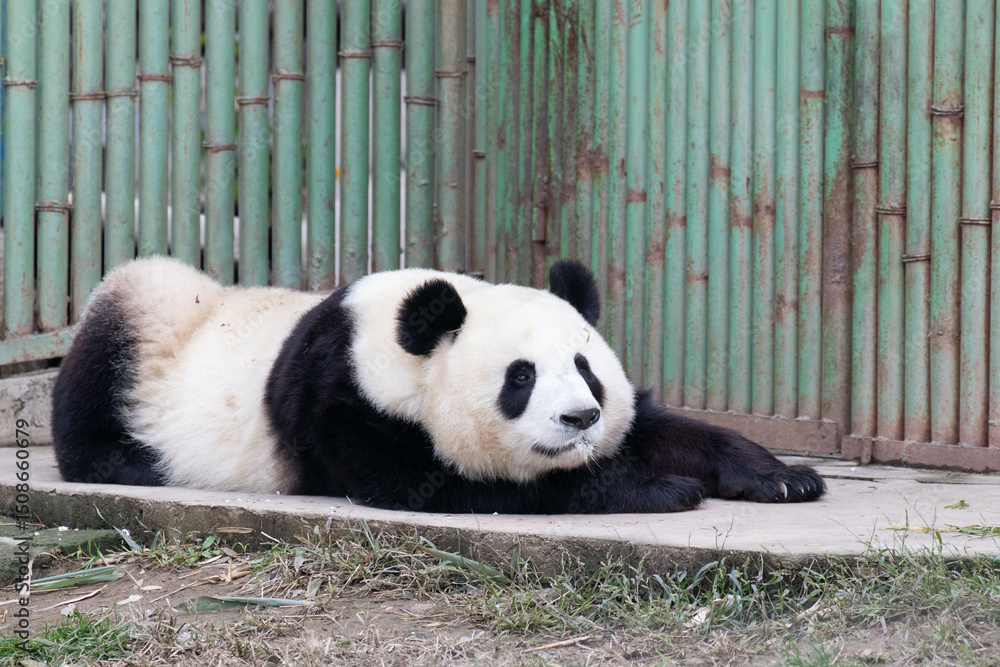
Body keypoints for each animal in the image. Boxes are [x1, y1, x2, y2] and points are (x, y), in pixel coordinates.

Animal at [52, 256, 825, 514]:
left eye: (587, 373)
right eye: (521, 377)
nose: (580, 419)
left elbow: (665, 428)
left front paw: (784, 477)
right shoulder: (344, 401)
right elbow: (452, 485)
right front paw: (655, 489)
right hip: (147, 314)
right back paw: (131, 462)